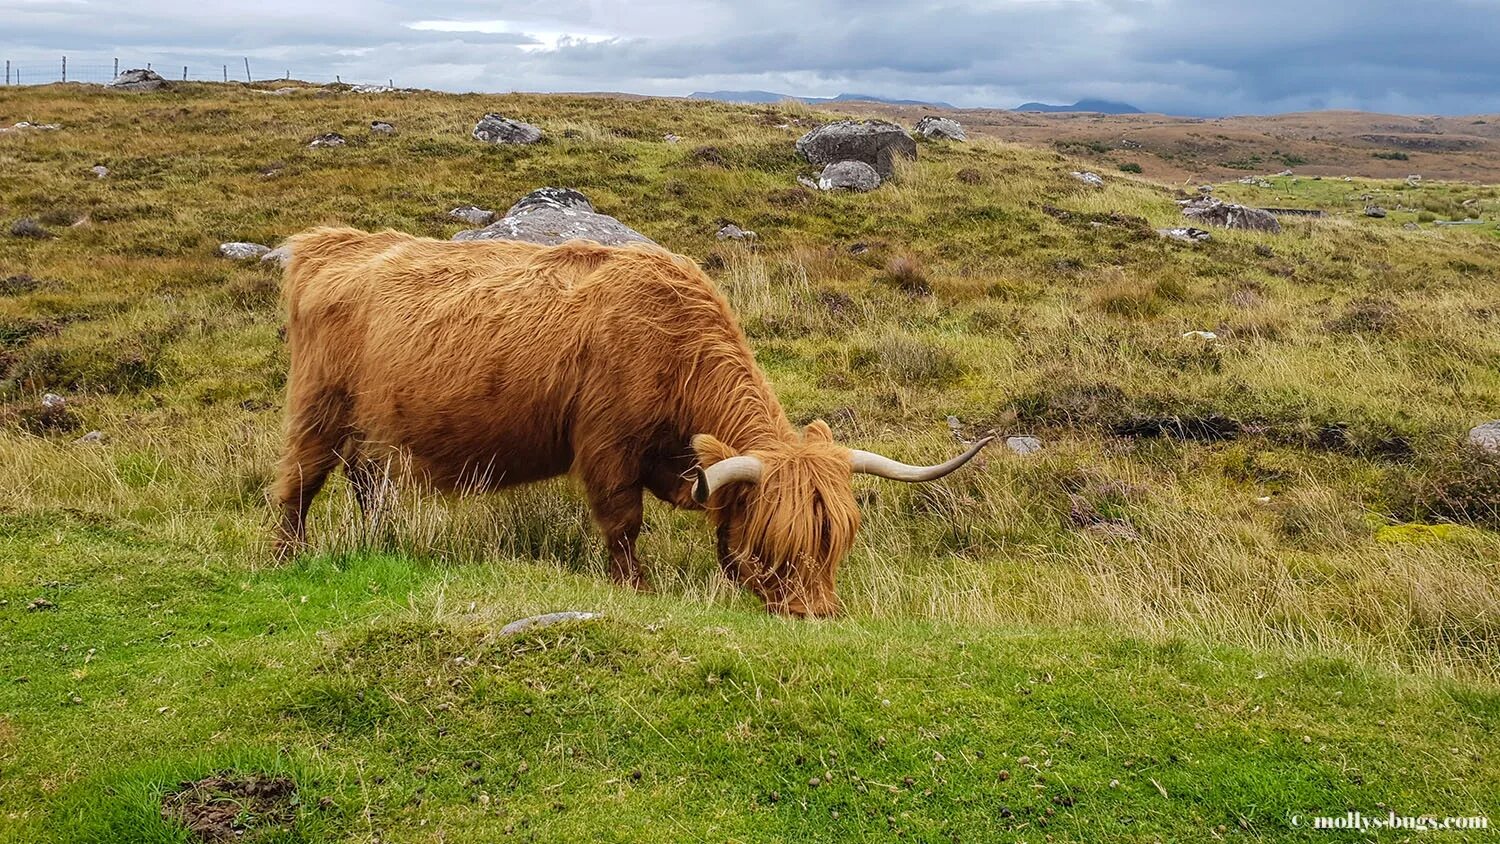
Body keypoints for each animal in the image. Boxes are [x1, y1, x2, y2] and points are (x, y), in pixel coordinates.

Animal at [276, 227, 990, 617]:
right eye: (772, 542)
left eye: (834, 541)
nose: (814, 614)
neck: (677, 353)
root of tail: (327, 245)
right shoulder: (607, 446)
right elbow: (623, 523)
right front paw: (635, 587)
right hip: (317, 412)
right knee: (296, 487)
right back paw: (288, 559)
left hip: (369, 435)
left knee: (369, 487)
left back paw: (384, 544)